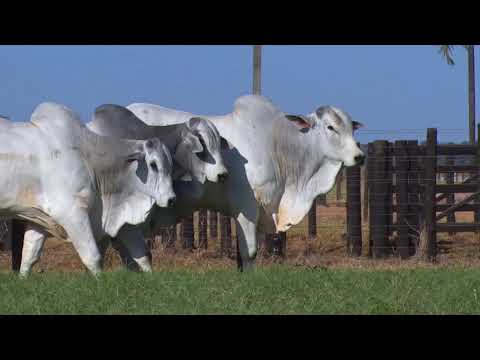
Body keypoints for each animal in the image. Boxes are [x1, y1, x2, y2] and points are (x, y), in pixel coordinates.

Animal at [0, 102, 176, 274]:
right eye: (153, 165)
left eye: (170, 164)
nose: (171, 199)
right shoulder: (71, 212)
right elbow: (93, 257)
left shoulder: (40, 218)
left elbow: (29, 257)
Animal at [126, 95, 364, 270]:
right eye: (330, 127)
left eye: (352, 127)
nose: (359, 156)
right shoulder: (246, 206)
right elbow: (249, 251)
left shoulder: (262, 210)